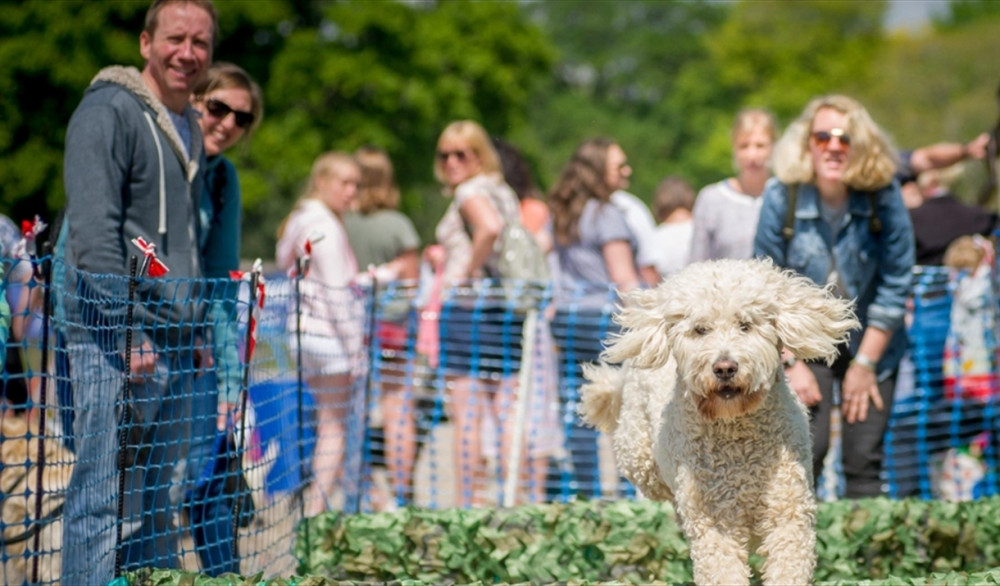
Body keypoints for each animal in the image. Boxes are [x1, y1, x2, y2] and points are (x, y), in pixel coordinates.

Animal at [580, 258, 860, 580]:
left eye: (745, 325)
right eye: (700, 330)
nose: (725, 367)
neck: (736, 435)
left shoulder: (788, 512)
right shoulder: (715, 525)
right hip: (638, 456)